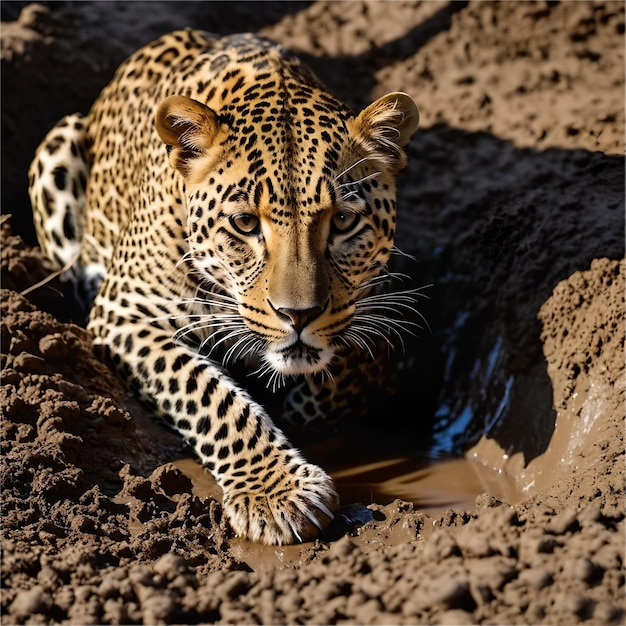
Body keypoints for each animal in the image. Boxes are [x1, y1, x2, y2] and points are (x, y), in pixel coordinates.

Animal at [29, 28, 420, 540]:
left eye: (343, 221)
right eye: (244, 223)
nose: (298, 316)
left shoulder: (371, 309)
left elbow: (338, 380)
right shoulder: (126, 310)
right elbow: (207, 394)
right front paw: (278, 493)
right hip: (56, 148)